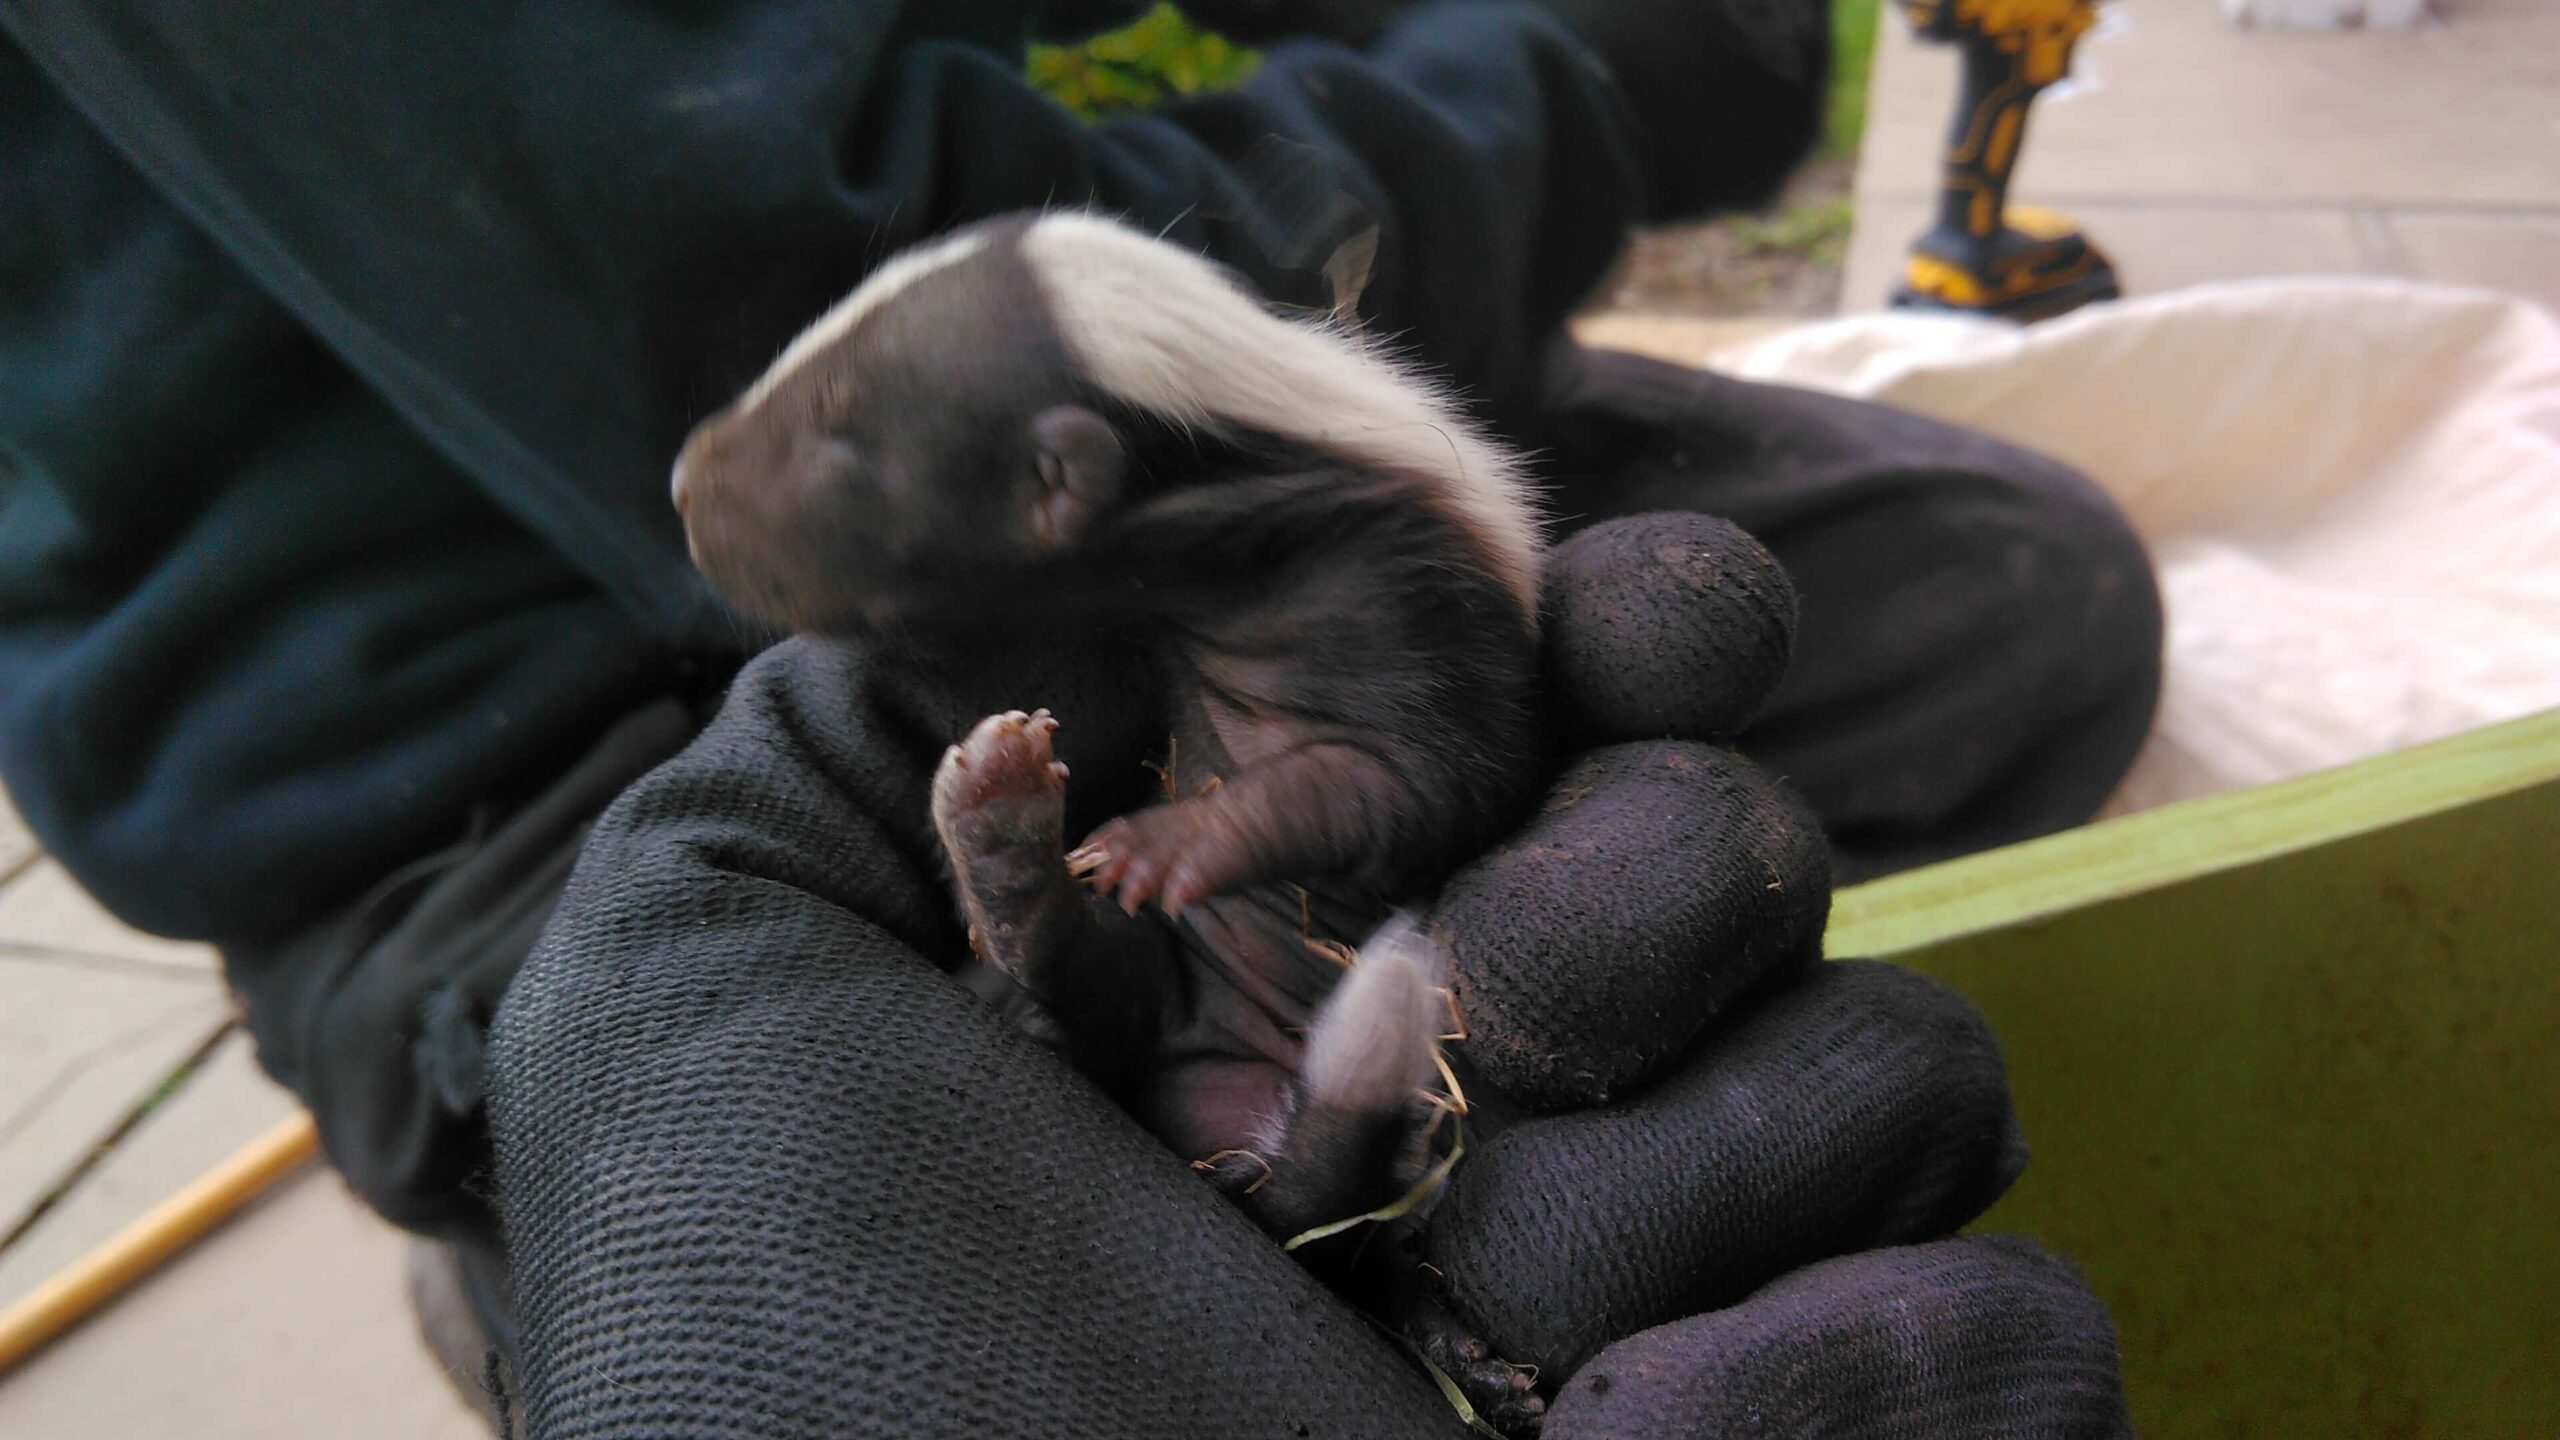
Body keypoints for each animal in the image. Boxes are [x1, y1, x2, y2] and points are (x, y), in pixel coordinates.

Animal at [670, 210, 1536, 1393]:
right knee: (1071, 967)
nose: (682, 482)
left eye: (838, 429)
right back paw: (1001, 835)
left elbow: (1380, 791)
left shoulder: (1430, 642)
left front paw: (1168, 843)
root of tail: (1236, 1123)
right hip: (1151, 989)